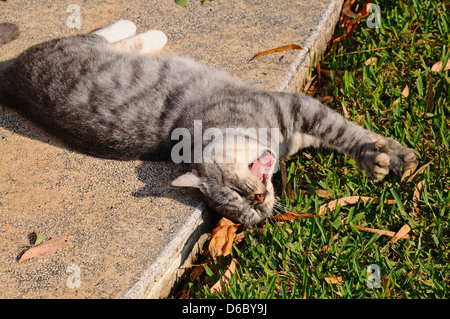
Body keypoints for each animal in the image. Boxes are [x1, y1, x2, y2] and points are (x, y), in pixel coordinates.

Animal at [0, 20, 418, 228]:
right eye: (245, 211)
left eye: (237, 189)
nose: (259, 199)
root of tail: (10, 81)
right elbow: (340, 134)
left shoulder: (299, 107)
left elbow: (346, 134)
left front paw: (387, 158)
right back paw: (149, 35)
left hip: (75, 48)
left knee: (99, 34)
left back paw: (137, 28)